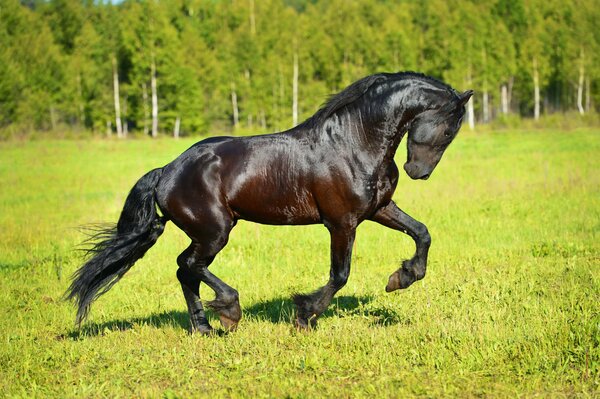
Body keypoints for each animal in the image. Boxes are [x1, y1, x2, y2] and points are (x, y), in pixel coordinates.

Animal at [65, 72, 474, 334]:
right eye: (449, 128)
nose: (417, 171)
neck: (354, 142)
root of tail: (167, 170)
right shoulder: (341, 222)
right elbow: (339, 275)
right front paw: (304, 315)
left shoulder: (378, 209)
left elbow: (422, 233)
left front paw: (401, 278)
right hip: (214, 231)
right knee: (188, 266)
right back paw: (228, 311)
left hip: (210, 233)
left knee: (187, 271)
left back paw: (204, 328)